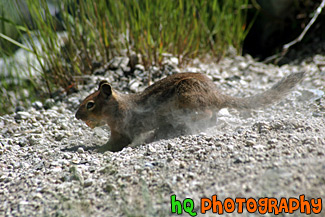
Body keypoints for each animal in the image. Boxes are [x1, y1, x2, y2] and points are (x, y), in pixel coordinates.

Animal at [75, 72, 304, 152]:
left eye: (90, 104)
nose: (76, 116)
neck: (118, 107)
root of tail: (216, 94)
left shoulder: (122, 131)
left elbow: (114, 144)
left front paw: (96, 149)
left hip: (188, 98)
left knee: (206, 115)